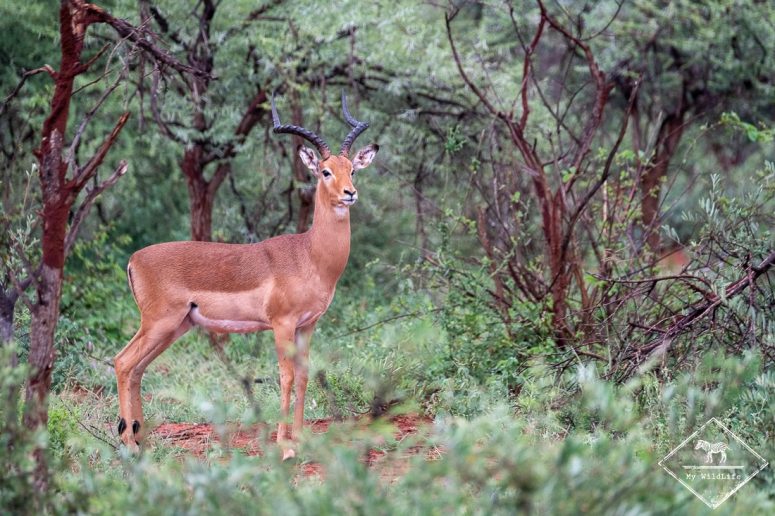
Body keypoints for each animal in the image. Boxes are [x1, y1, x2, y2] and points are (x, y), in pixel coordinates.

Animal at [114, 92, 378, 459]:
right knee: (123, 362)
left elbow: (304, 376)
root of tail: (134, 260)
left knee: (137, 368)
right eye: (325, 171)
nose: (350, 193)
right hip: (159, 323)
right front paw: (284, 447)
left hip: (175, 327)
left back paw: (143, 441)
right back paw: (129, 444)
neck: (309, 255)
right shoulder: (282, 323)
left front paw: (300, 440)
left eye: (352, 169)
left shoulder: (308, 325)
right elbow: (286, 377)